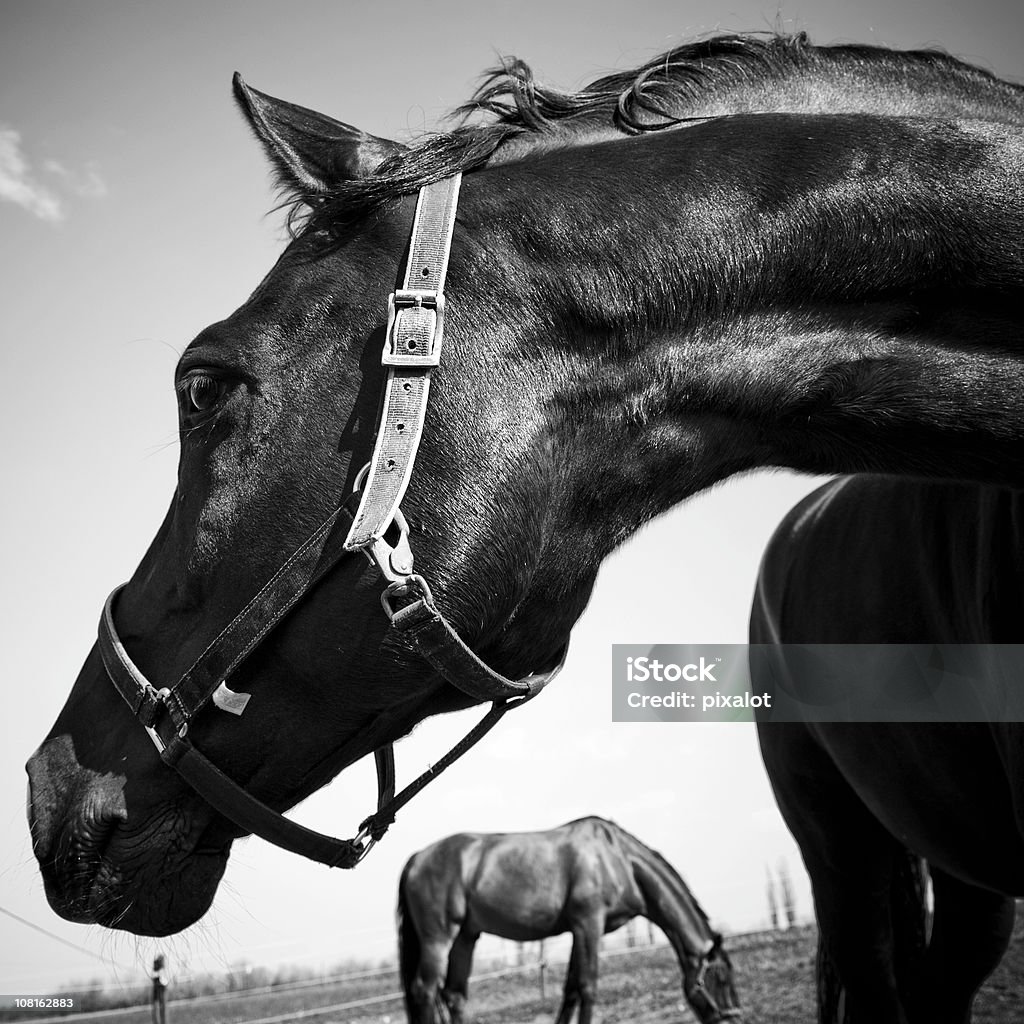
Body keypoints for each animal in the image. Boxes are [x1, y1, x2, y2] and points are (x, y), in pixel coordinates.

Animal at [395, 815, 741, 1024]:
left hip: (465, 937)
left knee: (453, 995)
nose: (736, 1018)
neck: (617, 860)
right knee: (425, 990)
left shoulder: (581, 931)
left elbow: (571, 989)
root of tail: (417, 858)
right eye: (721, 978)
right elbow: (588, 986)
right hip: (438, 939)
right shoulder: (589, 925)